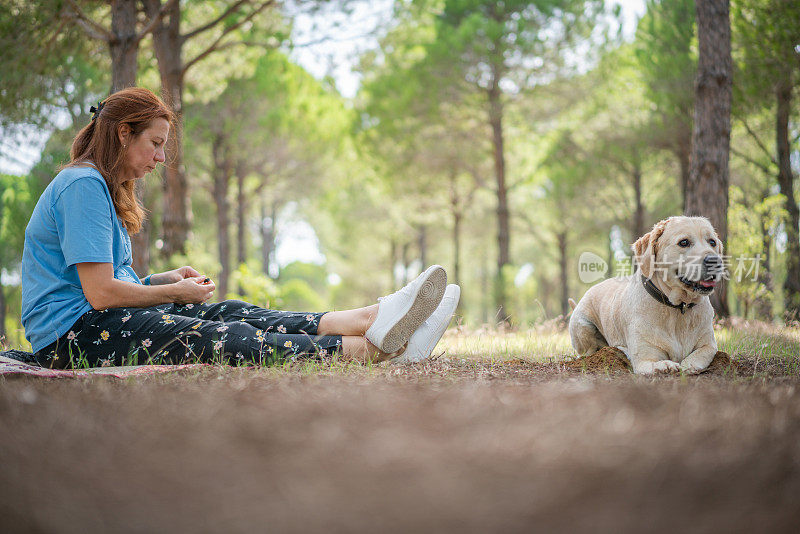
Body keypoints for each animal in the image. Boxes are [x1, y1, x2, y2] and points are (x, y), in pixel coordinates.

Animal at [568, 218, 724, 376]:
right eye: (684, 242)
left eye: (712, 242)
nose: (715, 261)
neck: (678, 307)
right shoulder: (645, 359)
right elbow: (656, 363)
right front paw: (666, 365)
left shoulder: (709, 345)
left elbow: (700, 355)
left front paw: (689, 365)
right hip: (583, 325)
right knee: (590, 352)